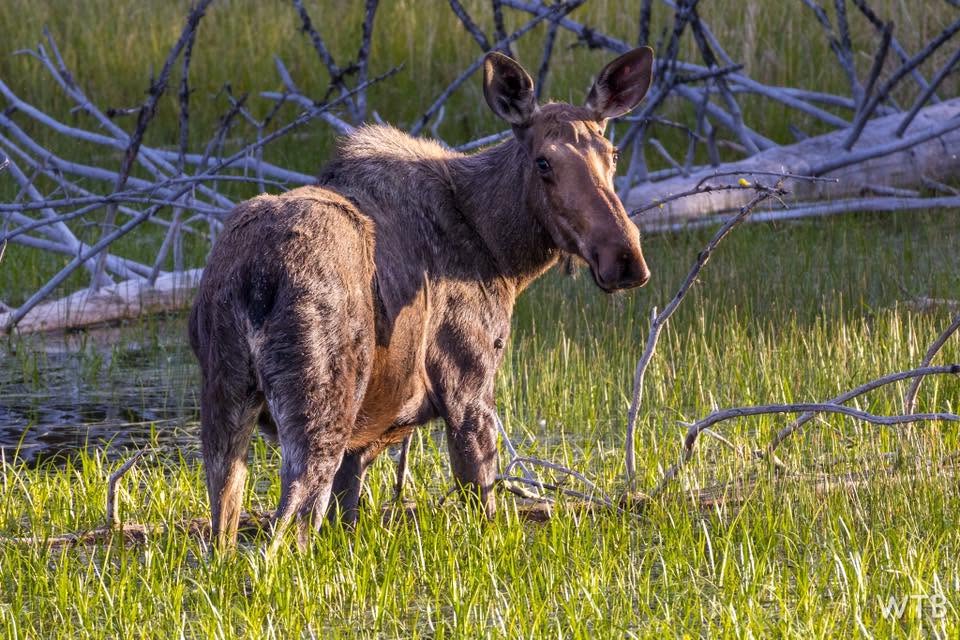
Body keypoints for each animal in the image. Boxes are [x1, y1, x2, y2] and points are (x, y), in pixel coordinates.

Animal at [188, 47, 654, 550]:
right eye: (543, 162)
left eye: (612, 153)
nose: (624, 257)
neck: (503, 254)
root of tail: (254, 277)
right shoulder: (468, 383)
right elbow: (483, 504)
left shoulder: (363, 439)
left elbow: (348, 518)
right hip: (319, 405)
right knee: (286, 528)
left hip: (224, 399)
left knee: (224, 530)